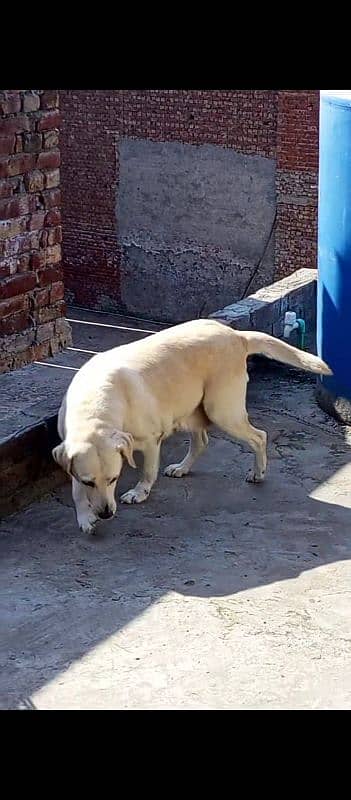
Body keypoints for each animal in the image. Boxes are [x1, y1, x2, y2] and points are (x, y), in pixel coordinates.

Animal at [53, 318, 332, 532]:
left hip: (222, 411)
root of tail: (236, 335)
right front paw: (85, 517)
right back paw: (182, 468)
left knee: (259, 436)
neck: (95, 408)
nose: (106, 514)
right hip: (194, 411)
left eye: (114, 478)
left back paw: (258, 473)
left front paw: (139, 492)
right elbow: (76, 490)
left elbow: (147, 472)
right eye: (90, 482)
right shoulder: (73, 456)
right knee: (202, 442)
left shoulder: (151, 441)